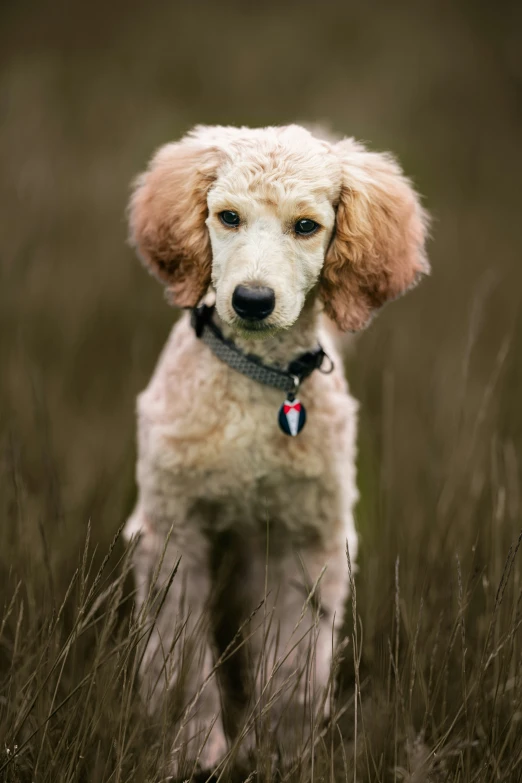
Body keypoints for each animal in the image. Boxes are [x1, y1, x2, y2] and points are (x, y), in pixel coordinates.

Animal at [123, 125, 426, 776]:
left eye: (306, 226)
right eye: (228, 217)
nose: (253, 300)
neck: (258, 380)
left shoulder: (310, 539)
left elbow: (297, 664)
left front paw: (285, 755)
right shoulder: (173, 530)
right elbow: (180, 658)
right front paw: (194, 751)